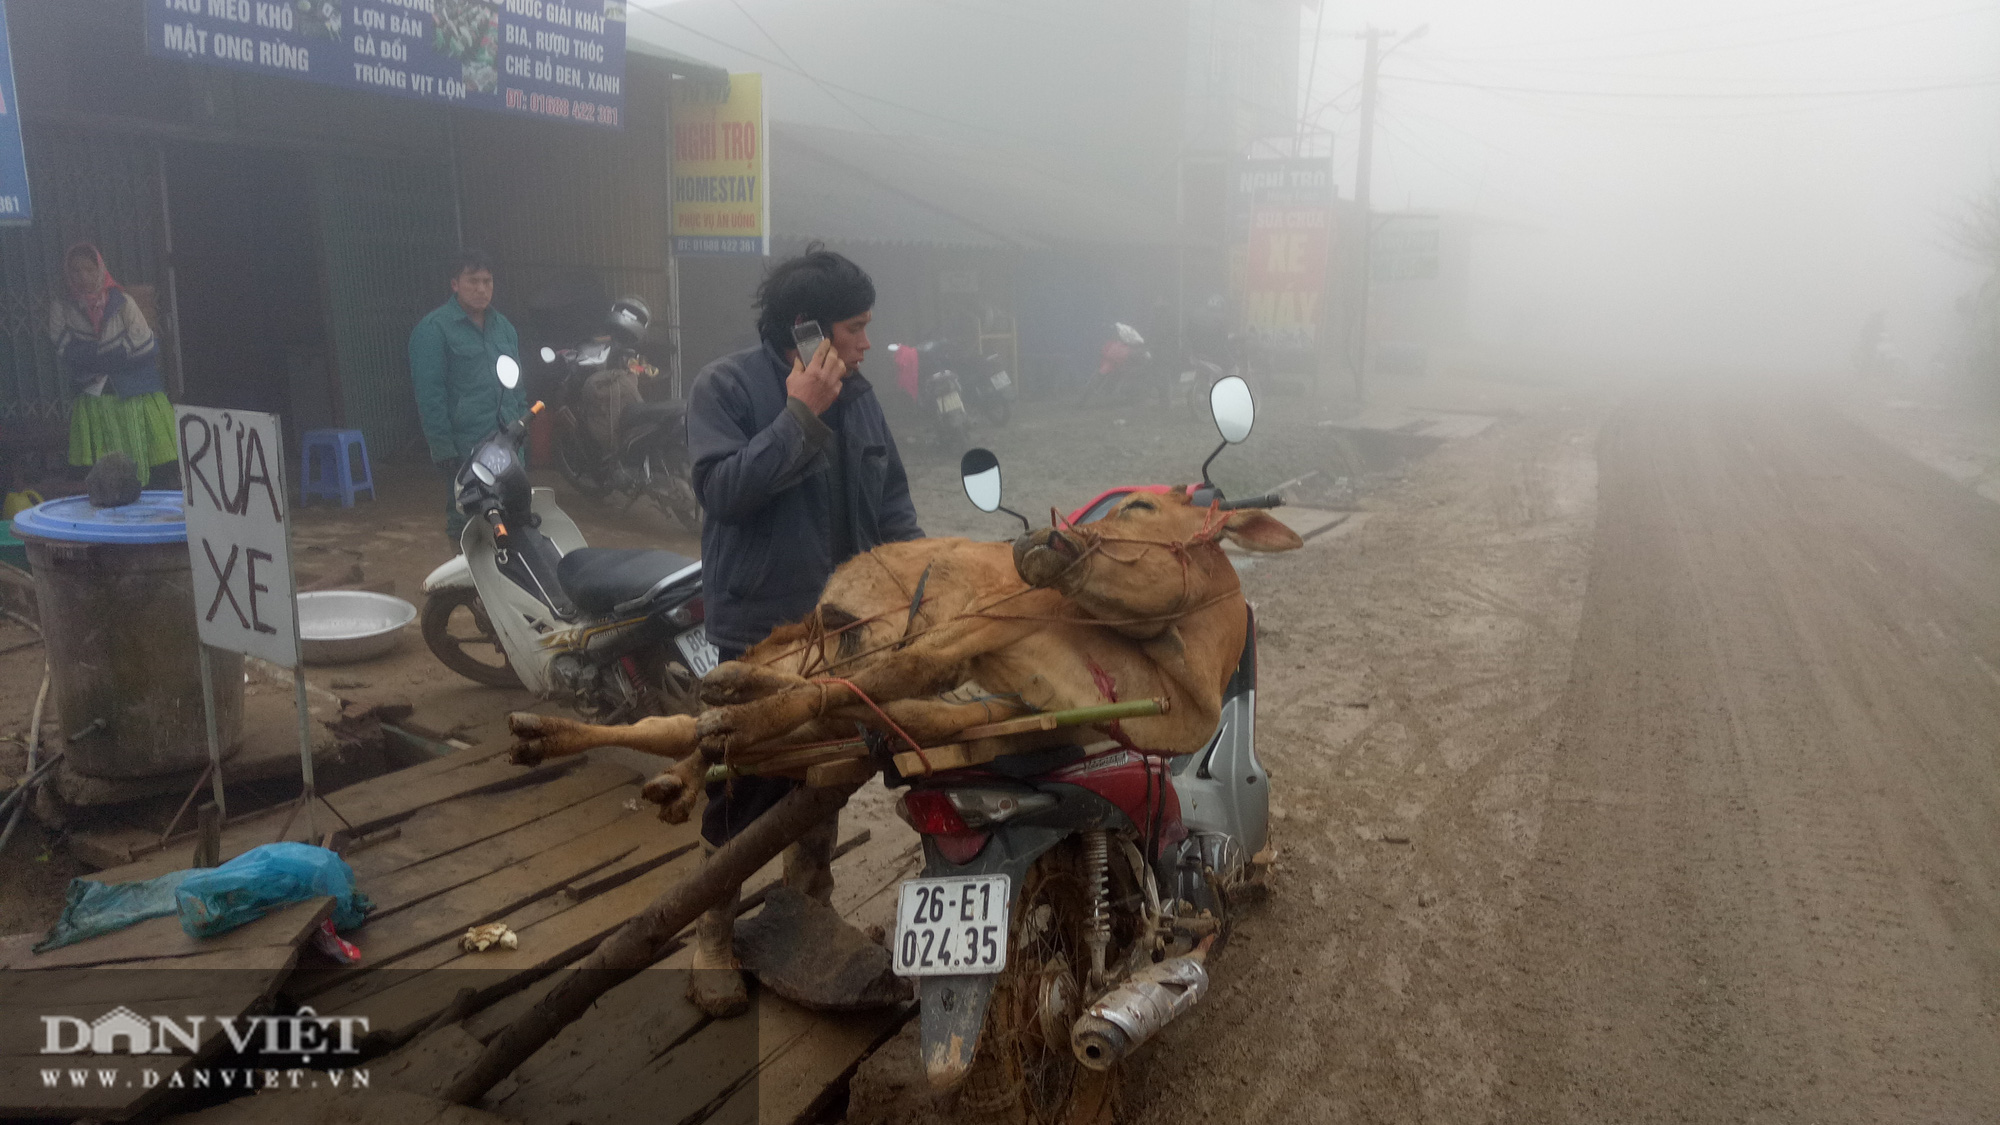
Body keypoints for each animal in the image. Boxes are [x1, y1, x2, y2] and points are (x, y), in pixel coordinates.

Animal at [508, 486, 1304, 800]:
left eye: (1139, 506)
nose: (1040, 542)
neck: (1173, 680)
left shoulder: (1000, 711)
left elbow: (880, 706)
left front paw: (736, 725)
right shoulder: (980, 622)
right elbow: (892, 673)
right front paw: (741, 709)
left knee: (685, 726)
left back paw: (664, 760)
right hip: (863, 628)